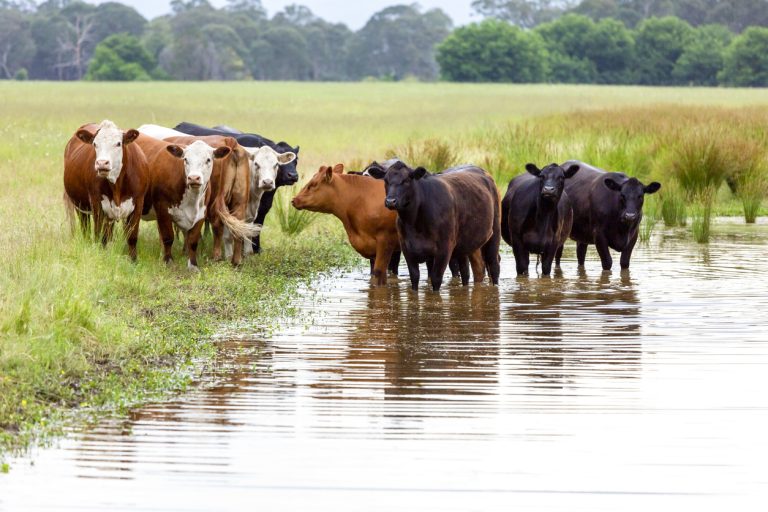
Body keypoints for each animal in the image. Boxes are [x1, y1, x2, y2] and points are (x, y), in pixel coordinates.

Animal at [63, 120, 149, 261]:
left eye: (118, 143)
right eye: (95, 144)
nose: (102, 163)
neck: (117, 185)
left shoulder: (138, 203)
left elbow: (132, 237)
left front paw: (133, 260)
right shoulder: (96, 203)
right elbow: (100, 236)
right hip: (80, 206)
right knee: (86, 229)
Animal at [135, 133, 232, 269]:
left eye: (208, 160)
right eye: (186, 159)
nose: (194, 178)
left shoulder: (201, 214)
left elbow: (193, 241)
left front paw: (193, 265)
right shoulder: (163, 209)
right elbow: (168, 237)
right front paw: (168, 261)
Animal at [174, 122, 300, 254]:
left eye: (296, 160)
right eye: (257, 164)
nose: (293, 175)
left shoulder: (261, 210)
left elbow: (255, 228)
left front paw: (256, 249)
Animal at [383, 162, 501, 292]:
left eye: (406, 180)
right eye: (386, 180)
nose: (390, 201)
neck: (414, 222)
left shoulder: (444, 249)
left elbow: (436, 278)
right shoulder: (407, 249)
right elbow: (414, 277)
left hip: (494, 233)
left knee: (493, 265)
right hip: (468, 243)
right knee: (472, 270)